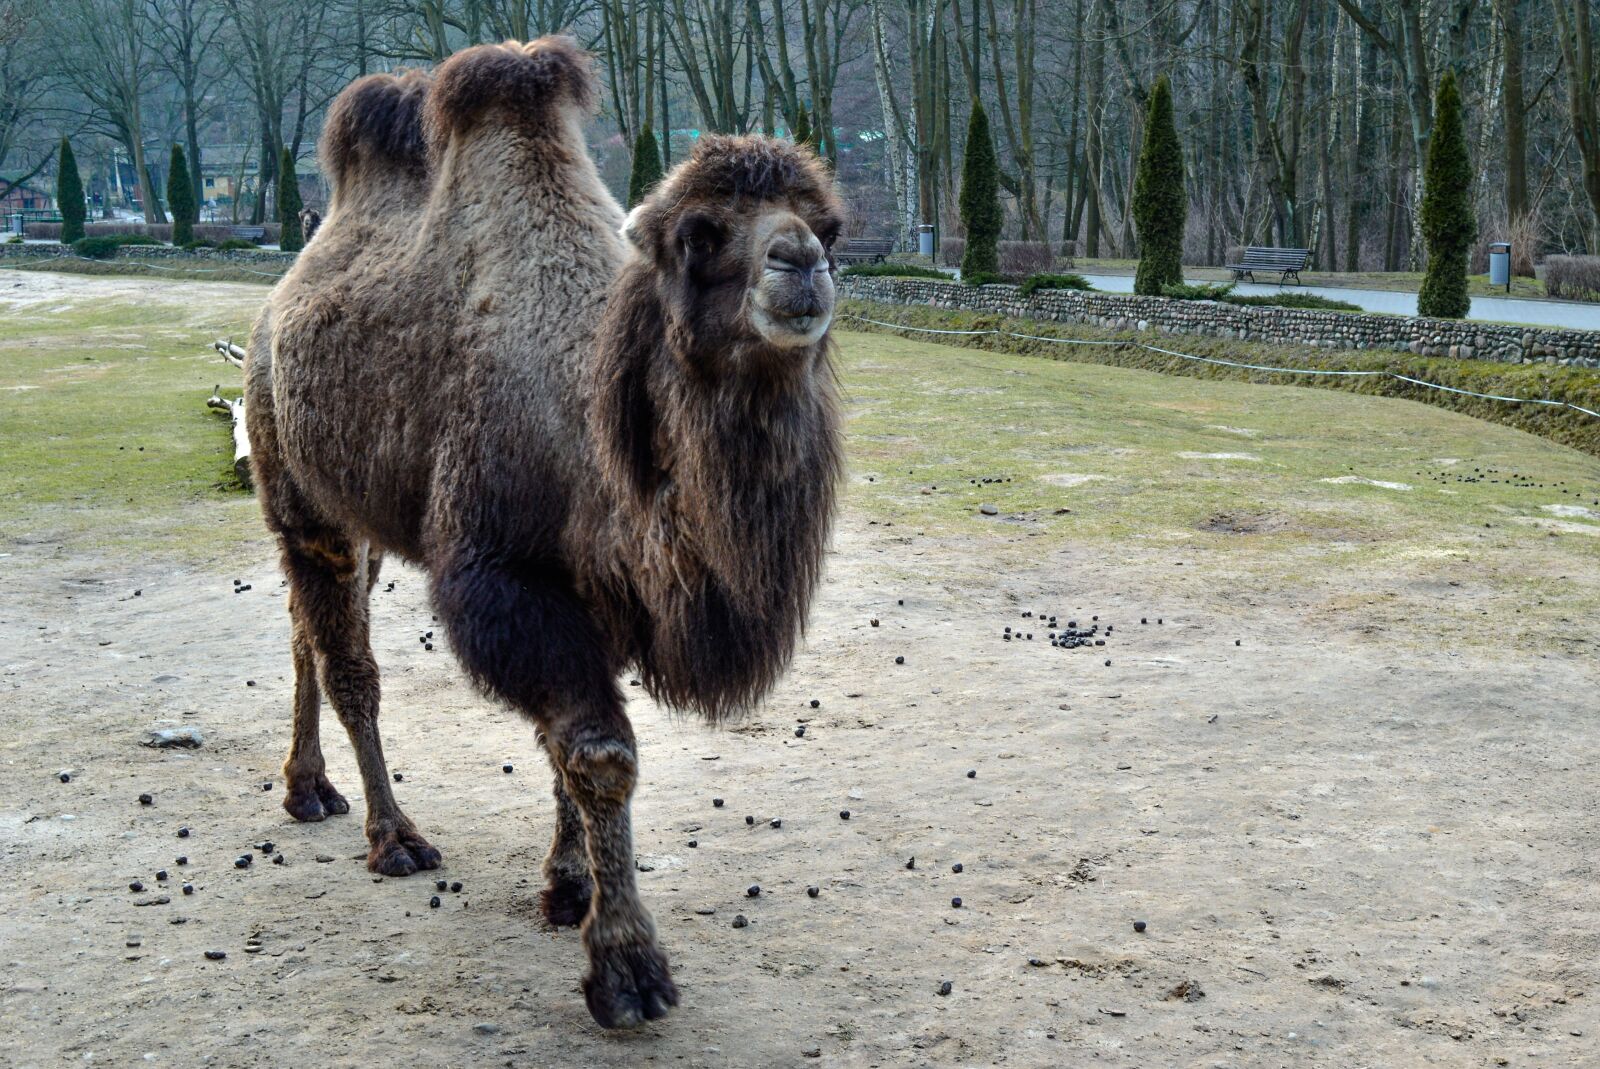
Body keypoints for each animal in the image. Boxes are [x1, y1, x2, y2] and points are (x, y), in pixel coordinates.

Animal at [244, 37, 845, 1029]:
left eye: (829, 226)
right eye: (700, 233)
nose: (799, 262)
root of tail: (275, 302)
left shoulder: (596, 587)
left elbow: (562, 748)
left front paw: (570, 887)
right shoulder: (506, 576)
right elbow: (598, 753)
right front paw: (628, 966)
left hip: (357, 514)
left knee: (306, 631)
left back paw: (308, 790)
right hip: (293, 485)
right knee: (348, 662)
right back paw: (392, 835)